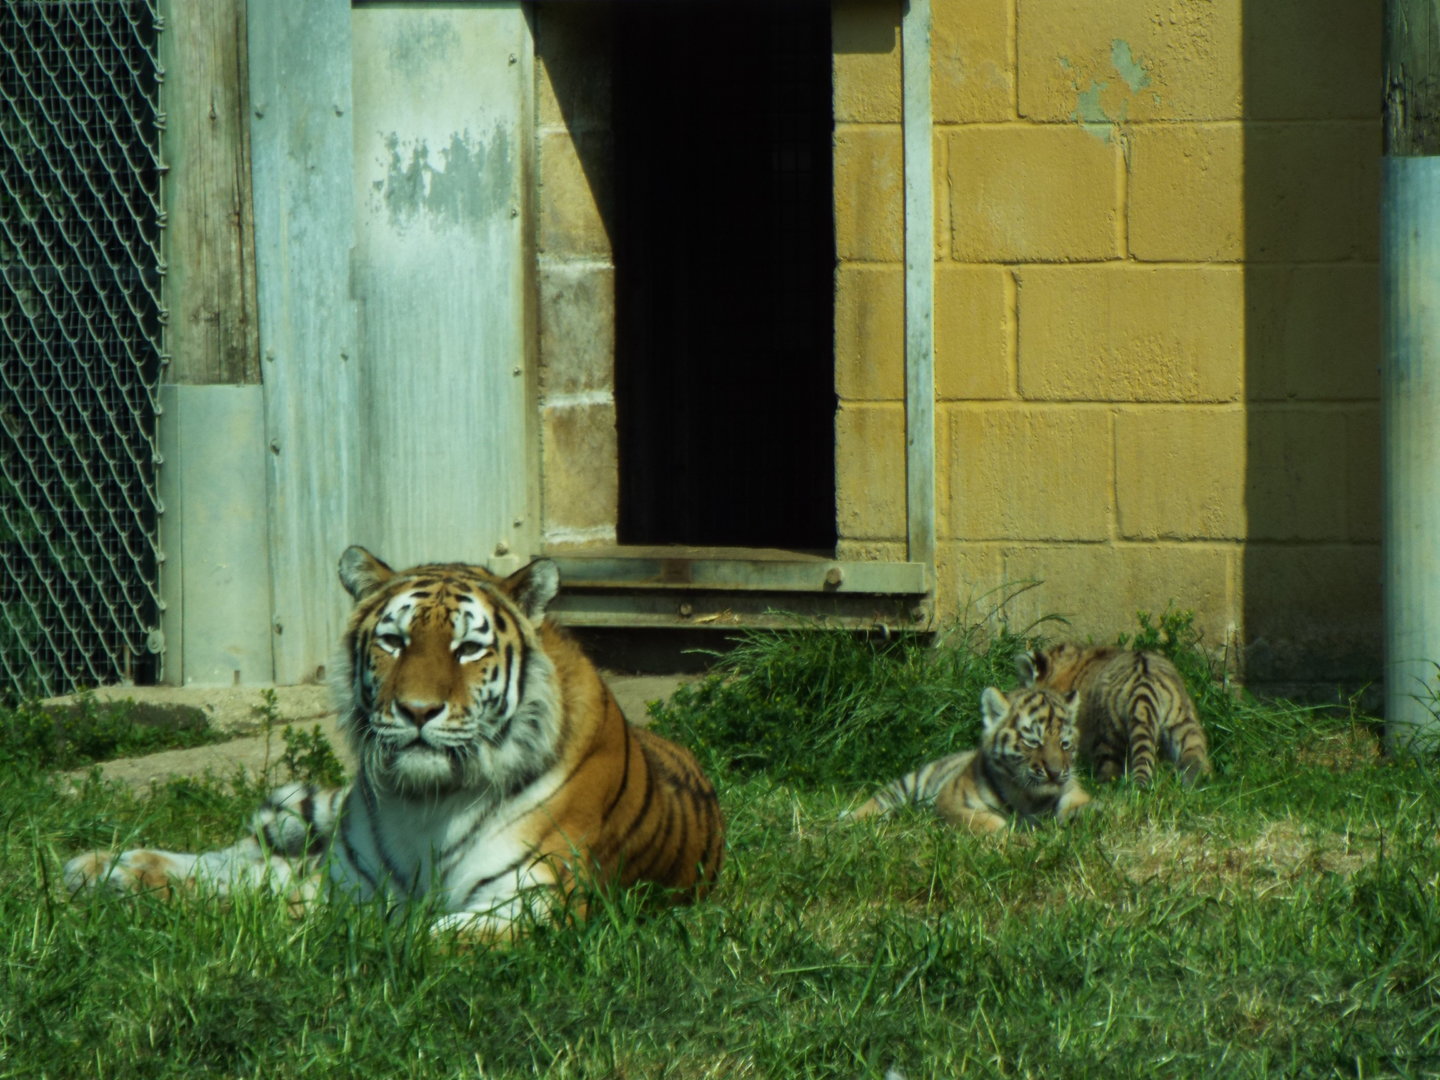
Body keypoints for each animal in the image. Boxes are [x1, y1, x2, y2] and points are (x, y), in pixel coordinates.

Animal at [65, 546, 725, 940]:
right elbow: (261, 892)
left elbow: (421, 937)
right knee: (247, 857)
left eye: (468, 648)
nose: (417, 710)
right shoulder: (345, 882)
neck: (428, 803)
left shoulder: (535, 901)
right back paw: (103, 867)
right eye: (394, 640)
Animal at [848, 686, 1091, 834]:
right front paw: (1011, 836)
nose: (1054, 772)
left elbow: (1081, 803)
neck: (1028, 797)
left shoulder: (1072, 788)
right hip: (909, 783)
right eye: (1033, 742)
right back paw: (849, 819)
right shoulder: (952, 802)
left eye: (1064, 744)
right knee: (881, 799)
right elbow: (985, 821)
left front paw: (1081, 817)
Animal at [1015, 643, 1212, 787]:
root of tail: (1143, 683)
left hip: (1108, 734)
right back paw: (1193, 784)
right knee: (1194, 755)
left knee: (1110, 770)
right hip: (1183, 723)